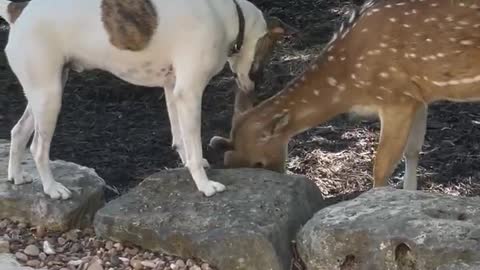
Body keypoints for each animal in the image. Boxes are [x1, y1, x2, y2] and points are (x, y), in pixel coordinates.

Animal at [0, 0, 286, 198]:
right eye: (262, 65)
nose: (254, 91)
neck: (227, 16)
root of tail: (19, 11)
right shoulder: (190, 93)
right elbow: (193, 146)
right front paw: (203, 184)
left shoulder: (173, 89)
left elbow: (180, 138)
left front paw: (187, 163)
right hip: (49, 98)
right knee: (38, 148)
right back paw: (51, 188)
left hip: (45, 92)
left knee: (18, 131)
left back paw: (16, 175)